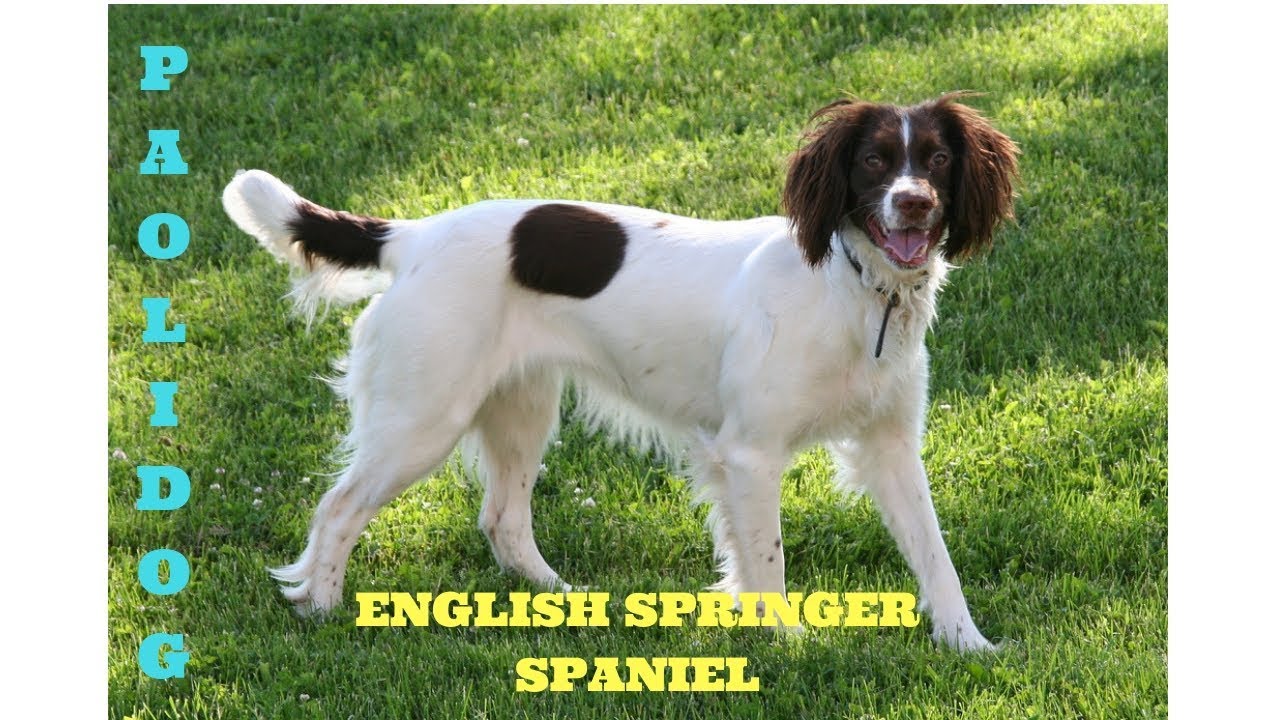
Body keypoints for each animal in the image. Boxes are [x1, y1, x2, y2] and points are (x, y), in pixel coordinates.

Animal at [222, 90, 1018, 650]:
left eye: (937, 161)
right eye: (874, 161)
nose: (913, 204)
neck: (853, 288)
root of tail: (411, 235)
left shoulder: (892, 447)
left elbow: (935, 556)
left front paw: (968, 643)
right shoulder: (751, 453)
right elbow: (768, 560)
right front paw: (789, 641)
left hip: (521, 408)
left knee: (502, 518)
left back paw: (561, 597)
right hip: (423, 419)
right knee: (340, 507)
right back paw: (320, 606)